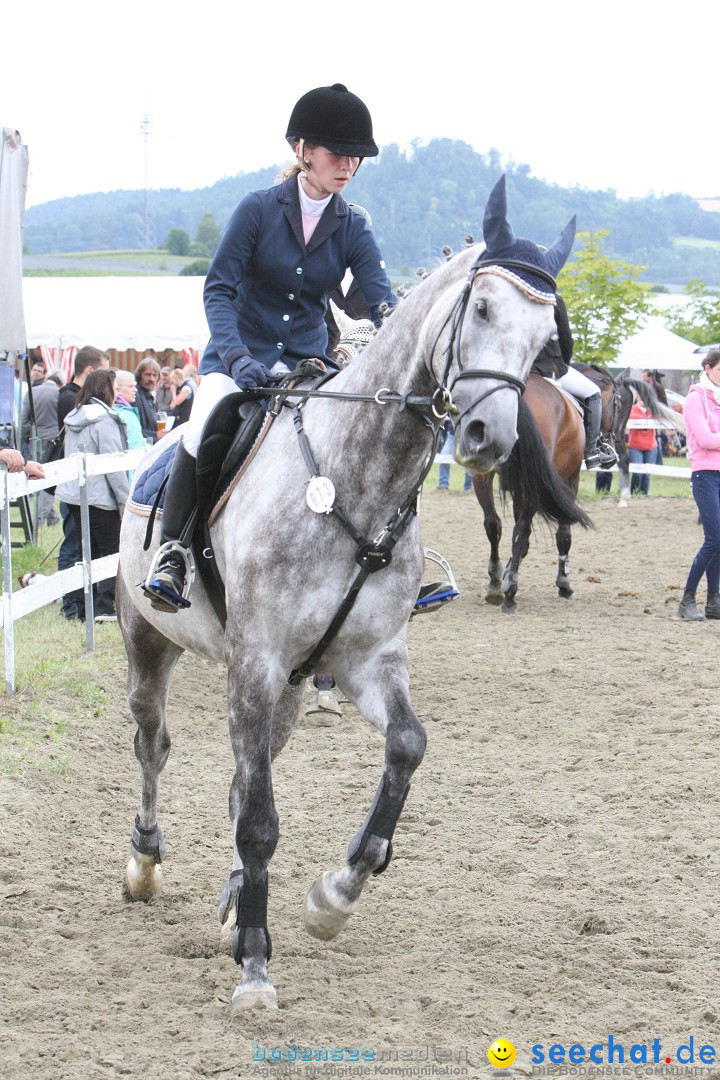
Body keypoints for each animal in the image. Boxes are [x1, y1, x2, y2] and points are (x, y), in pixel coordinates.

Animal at [119, 177, 578, 1010]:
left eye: (542, 342)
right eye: (482, 308)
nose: (491, 439)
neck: (354, 478)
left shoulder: (366, 660)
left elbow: (405, 748)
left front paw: (333, 896)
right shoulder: (256, 663)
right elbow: (259, 820)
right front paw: (256, 968)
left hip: (292, 687)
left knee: (241, 777)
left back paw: (234, 903)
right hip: (152, 644)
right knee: (153, 745)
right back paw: (144, 863)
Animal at [474, 369, 613, 609]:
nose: (609, 442)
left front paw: (506, 572)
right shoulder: (569, 479)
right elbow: (563, 534)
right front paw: (564, 583)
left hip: (483, 472)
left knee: (493, 524)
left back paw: (495, 583)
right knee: (521, 531)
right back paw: (510, 593)